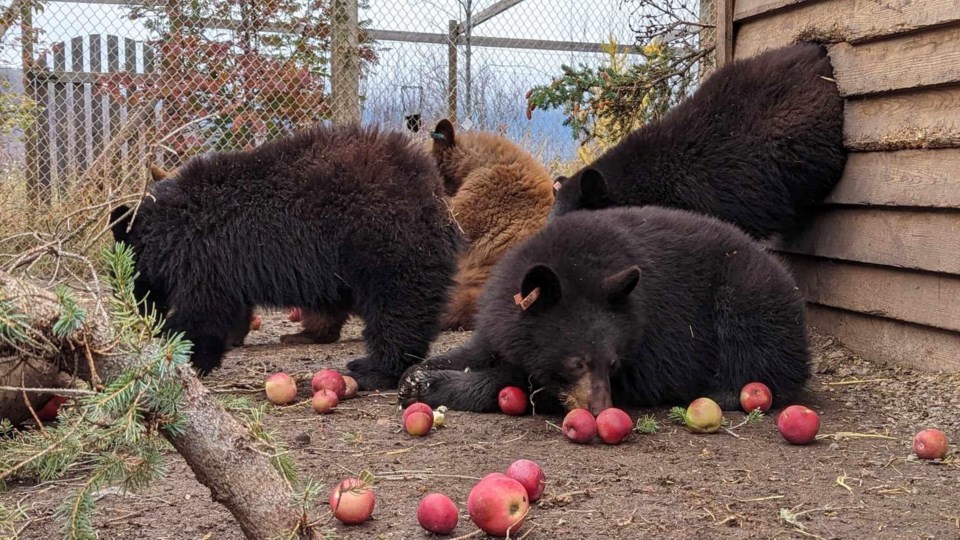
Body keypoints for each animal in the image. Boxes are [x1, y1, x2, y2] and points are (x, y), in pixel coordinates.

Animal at [109, 124, 462, 390]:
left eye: (121, 278)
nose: (132, 312)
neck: (170, 230)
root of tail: (434, 195)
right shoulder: (228, 265)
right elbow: (230, 308)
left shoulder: (206, 255)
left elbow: (202, 312)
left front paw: (184, 353)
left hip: (382, 237)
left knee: (397, 306)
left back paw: (373, 368)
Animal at [398, 205, 808, 412]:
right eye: (577, 363)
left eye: (612, 363)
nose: (602, 408)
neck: (577, 264)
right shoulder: (503, 315)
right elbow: (480, 348)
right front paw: (416, 375)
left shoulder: (650, 340)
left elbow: (521, 384)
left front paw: (437, 386)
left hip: (747, 293)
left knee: (755, 348)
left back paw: (722, 391)